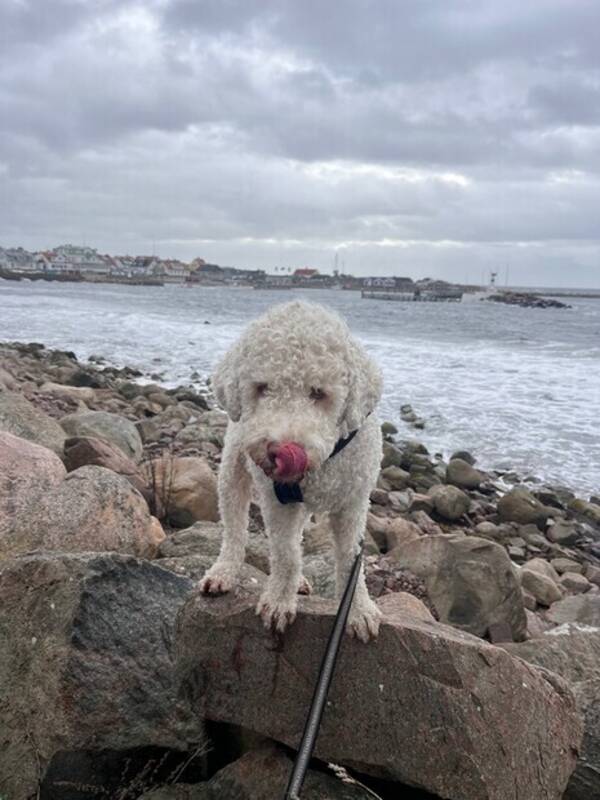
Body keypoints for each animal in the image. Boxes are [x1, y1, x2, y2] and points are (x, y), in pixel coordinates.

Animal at [199, 300, 382, 644]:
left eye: (318, 392)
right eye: (261, 388)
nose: (279, 450)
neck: (323, 464)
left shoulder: (353, 503)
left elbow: (349, 557)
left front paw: (359, 609)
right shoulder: (276, 501)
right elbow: (285, 553)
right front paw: (279, 602)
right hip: (232, 473)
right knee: (235, 528)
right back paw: (224, 570)